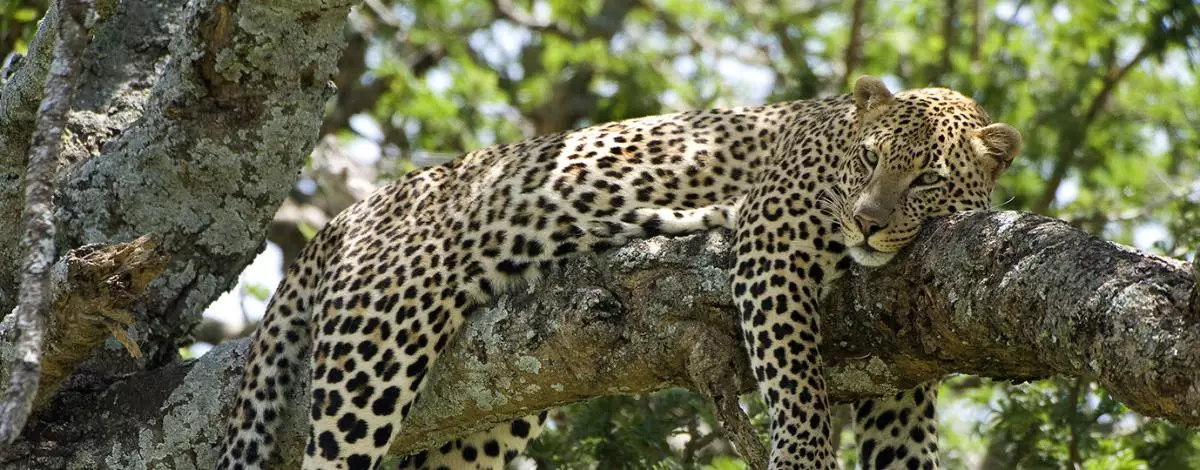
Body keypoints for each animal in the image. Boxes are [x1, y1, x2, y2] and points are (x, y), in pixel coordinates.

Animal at [216, 77, 1022, 470]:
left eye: (925, 179)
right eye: (868, 158)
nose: (867, 222)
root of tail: (346, 217)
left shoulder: (903, 357)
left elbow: (905, 447)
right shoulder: (770, 237)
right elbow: (795, 377)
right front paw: (804, 456)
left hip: (480, 422)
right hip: (377, 341)